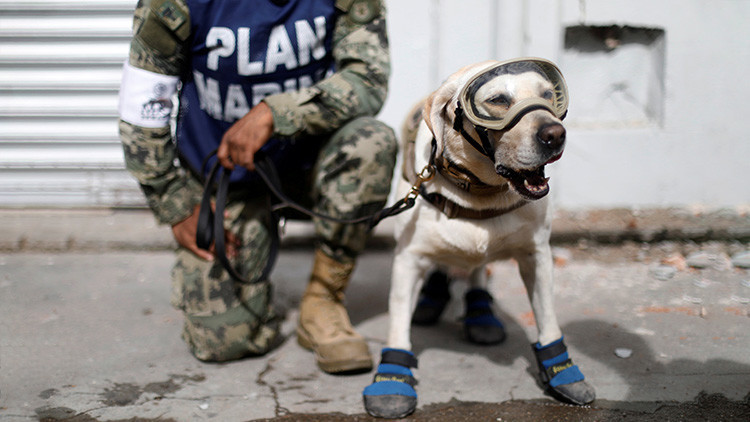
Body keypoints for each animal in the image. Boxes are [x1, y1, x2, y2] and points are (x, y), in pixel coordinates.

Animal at [362, 58, 596, 418]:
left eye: (548, 95)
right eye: (498, 100)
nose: (555, 134)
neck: (480, 195)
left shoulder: (538, 256)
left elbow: (548, 321)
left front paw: (563, 372)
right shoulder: (407, 259)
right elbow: (398, 324)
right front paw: (391, 379)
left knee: (476, 271)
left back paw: (481, 312)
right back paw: (432, 297)